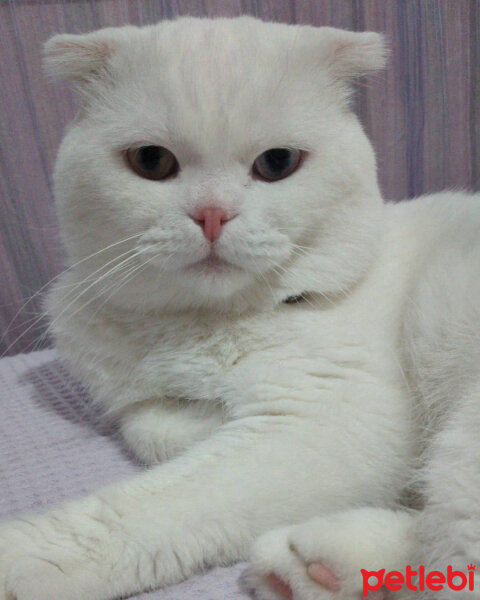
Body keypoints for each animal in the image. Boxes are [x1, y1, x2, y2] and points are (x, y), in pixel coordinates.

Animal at [0, 15, 480, 600]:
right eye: (151, 161)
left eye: (277, 163)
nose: (212, 214)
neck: (193, 327)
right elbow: (148, 428)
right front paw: (195, 420)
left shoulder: (329, 418)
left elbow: (147, 508)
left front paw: (17, 559)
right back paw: (321, 568)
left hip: (465, 443)